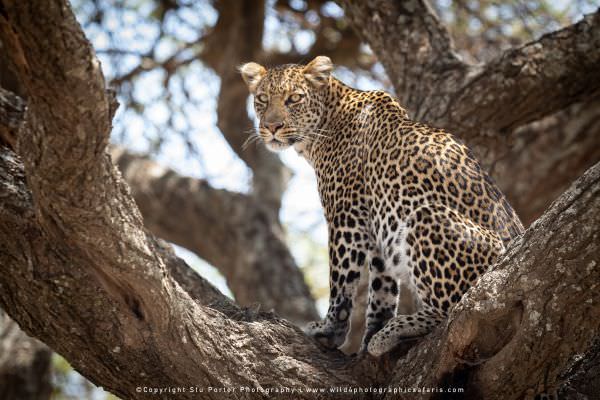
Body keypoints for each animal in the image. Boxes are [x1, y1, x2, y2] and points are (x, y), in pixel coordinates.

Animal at [239, 54, 524, 356]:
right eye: (262, 99)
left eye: (294, 98)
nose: (272, 127)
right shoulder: (378, 226)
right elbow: (382, 289)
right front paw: (369, 336)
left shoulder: (346, 218)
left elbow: (341, 282)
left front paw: (331, 330)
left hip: (426, 217)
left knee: (454, 309)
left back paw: (398, 328)